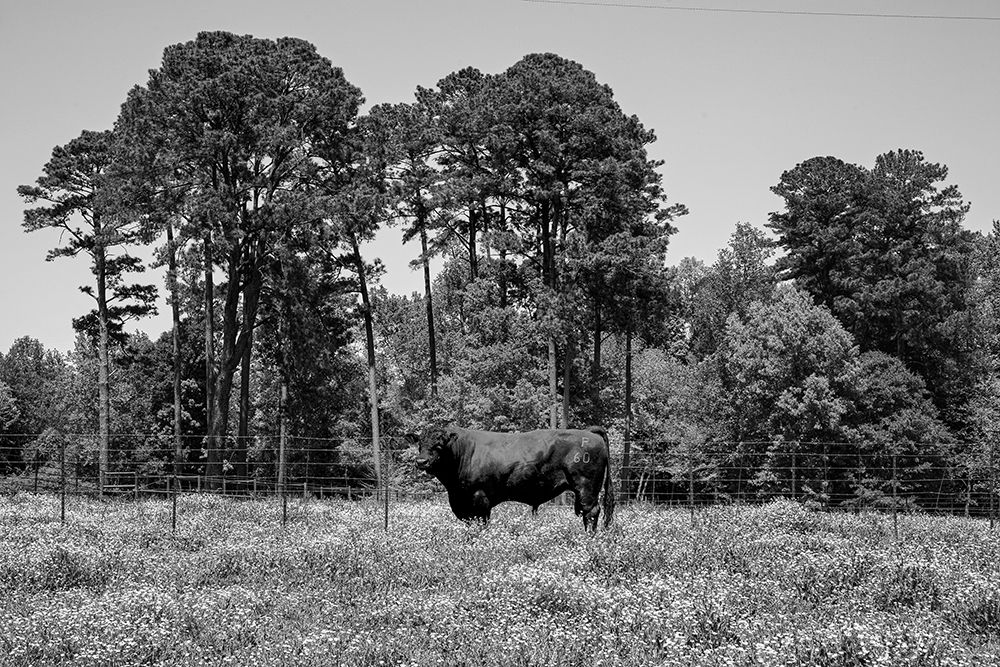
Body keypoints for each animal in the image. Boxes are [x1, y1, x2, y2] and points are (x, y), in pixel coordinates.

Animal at [408, 428, 612, 532]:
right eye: (420, 444)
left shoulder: (480, 501)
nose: (421, 461)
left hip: (586, 488)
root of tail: (591, 433)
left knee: (591, 512)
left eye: (439, 445)